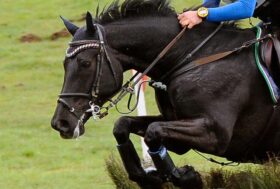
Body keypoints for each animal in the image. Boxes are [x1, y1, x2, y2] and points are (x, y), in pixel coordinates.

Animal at [50, 0, 280, 188]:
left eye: (84, 63)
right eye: (64, 64)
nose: (61, 123)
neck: (193, 57)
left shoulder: (215, 133)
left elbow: (153, 131)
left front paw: (188, 177)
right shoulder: (177, 129)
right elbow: (123, 126)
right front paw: (148, 177)